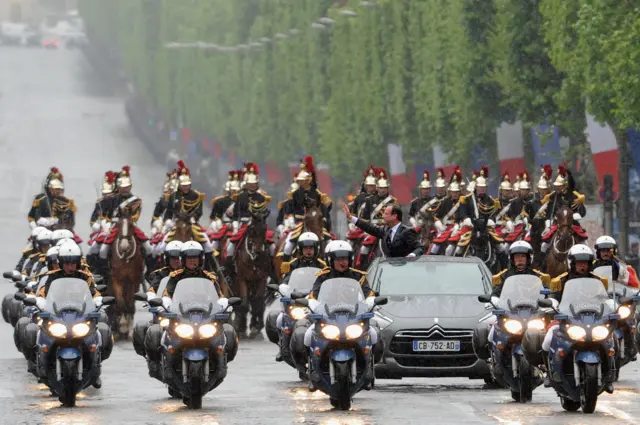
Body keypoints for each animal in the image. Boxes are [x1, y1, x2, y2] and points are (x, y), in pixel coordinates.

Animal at [108, 206, 144, 342]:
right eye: (118, 224)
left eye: (131, 225)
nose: (124, 246)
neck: (125, 258)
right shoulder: (117, 279)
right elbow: (121, 303)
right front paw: (122, 325)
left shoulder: (134, 280)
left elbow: (129, 303)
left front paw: (128, 329)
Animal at [231, 201, 272, 338]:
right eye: (251, 229)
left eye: (265, 229)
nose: (258, 251)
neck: (253, 260)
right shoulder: (242, 279)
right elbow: (243, 303)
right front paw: (241, 327)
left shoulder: (262, 279)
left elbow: (257, 303)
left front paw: (255, 326)